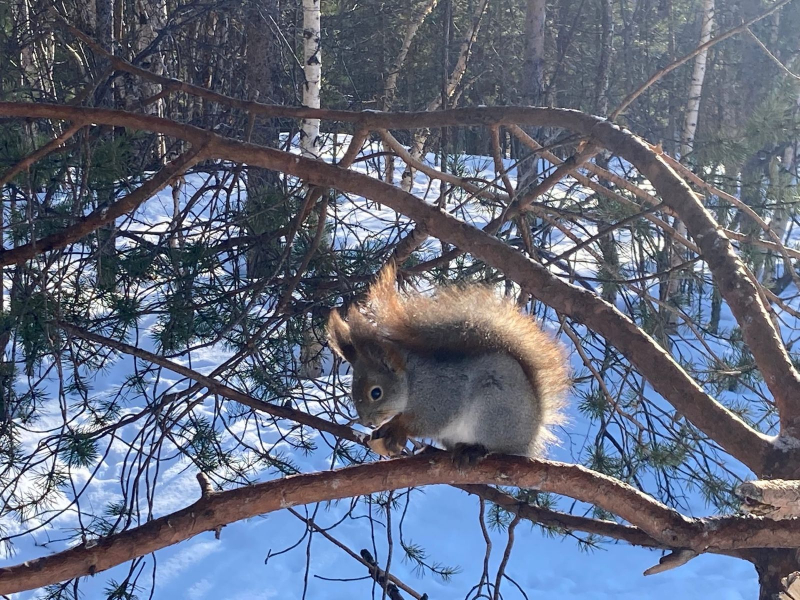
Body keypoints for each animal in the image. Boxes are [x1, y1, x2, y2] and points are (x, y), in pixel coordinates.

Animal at [327, 265, 569, 466]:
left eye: (376, 392)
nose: (367, 421)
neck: (412, 380)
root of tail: (529, 438)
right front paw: (385, 431)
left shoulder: (441, 393)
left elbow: (432, 420)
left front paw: (396, 427)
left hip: (495, 411)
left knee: (497, 447)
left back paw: (474, 450)